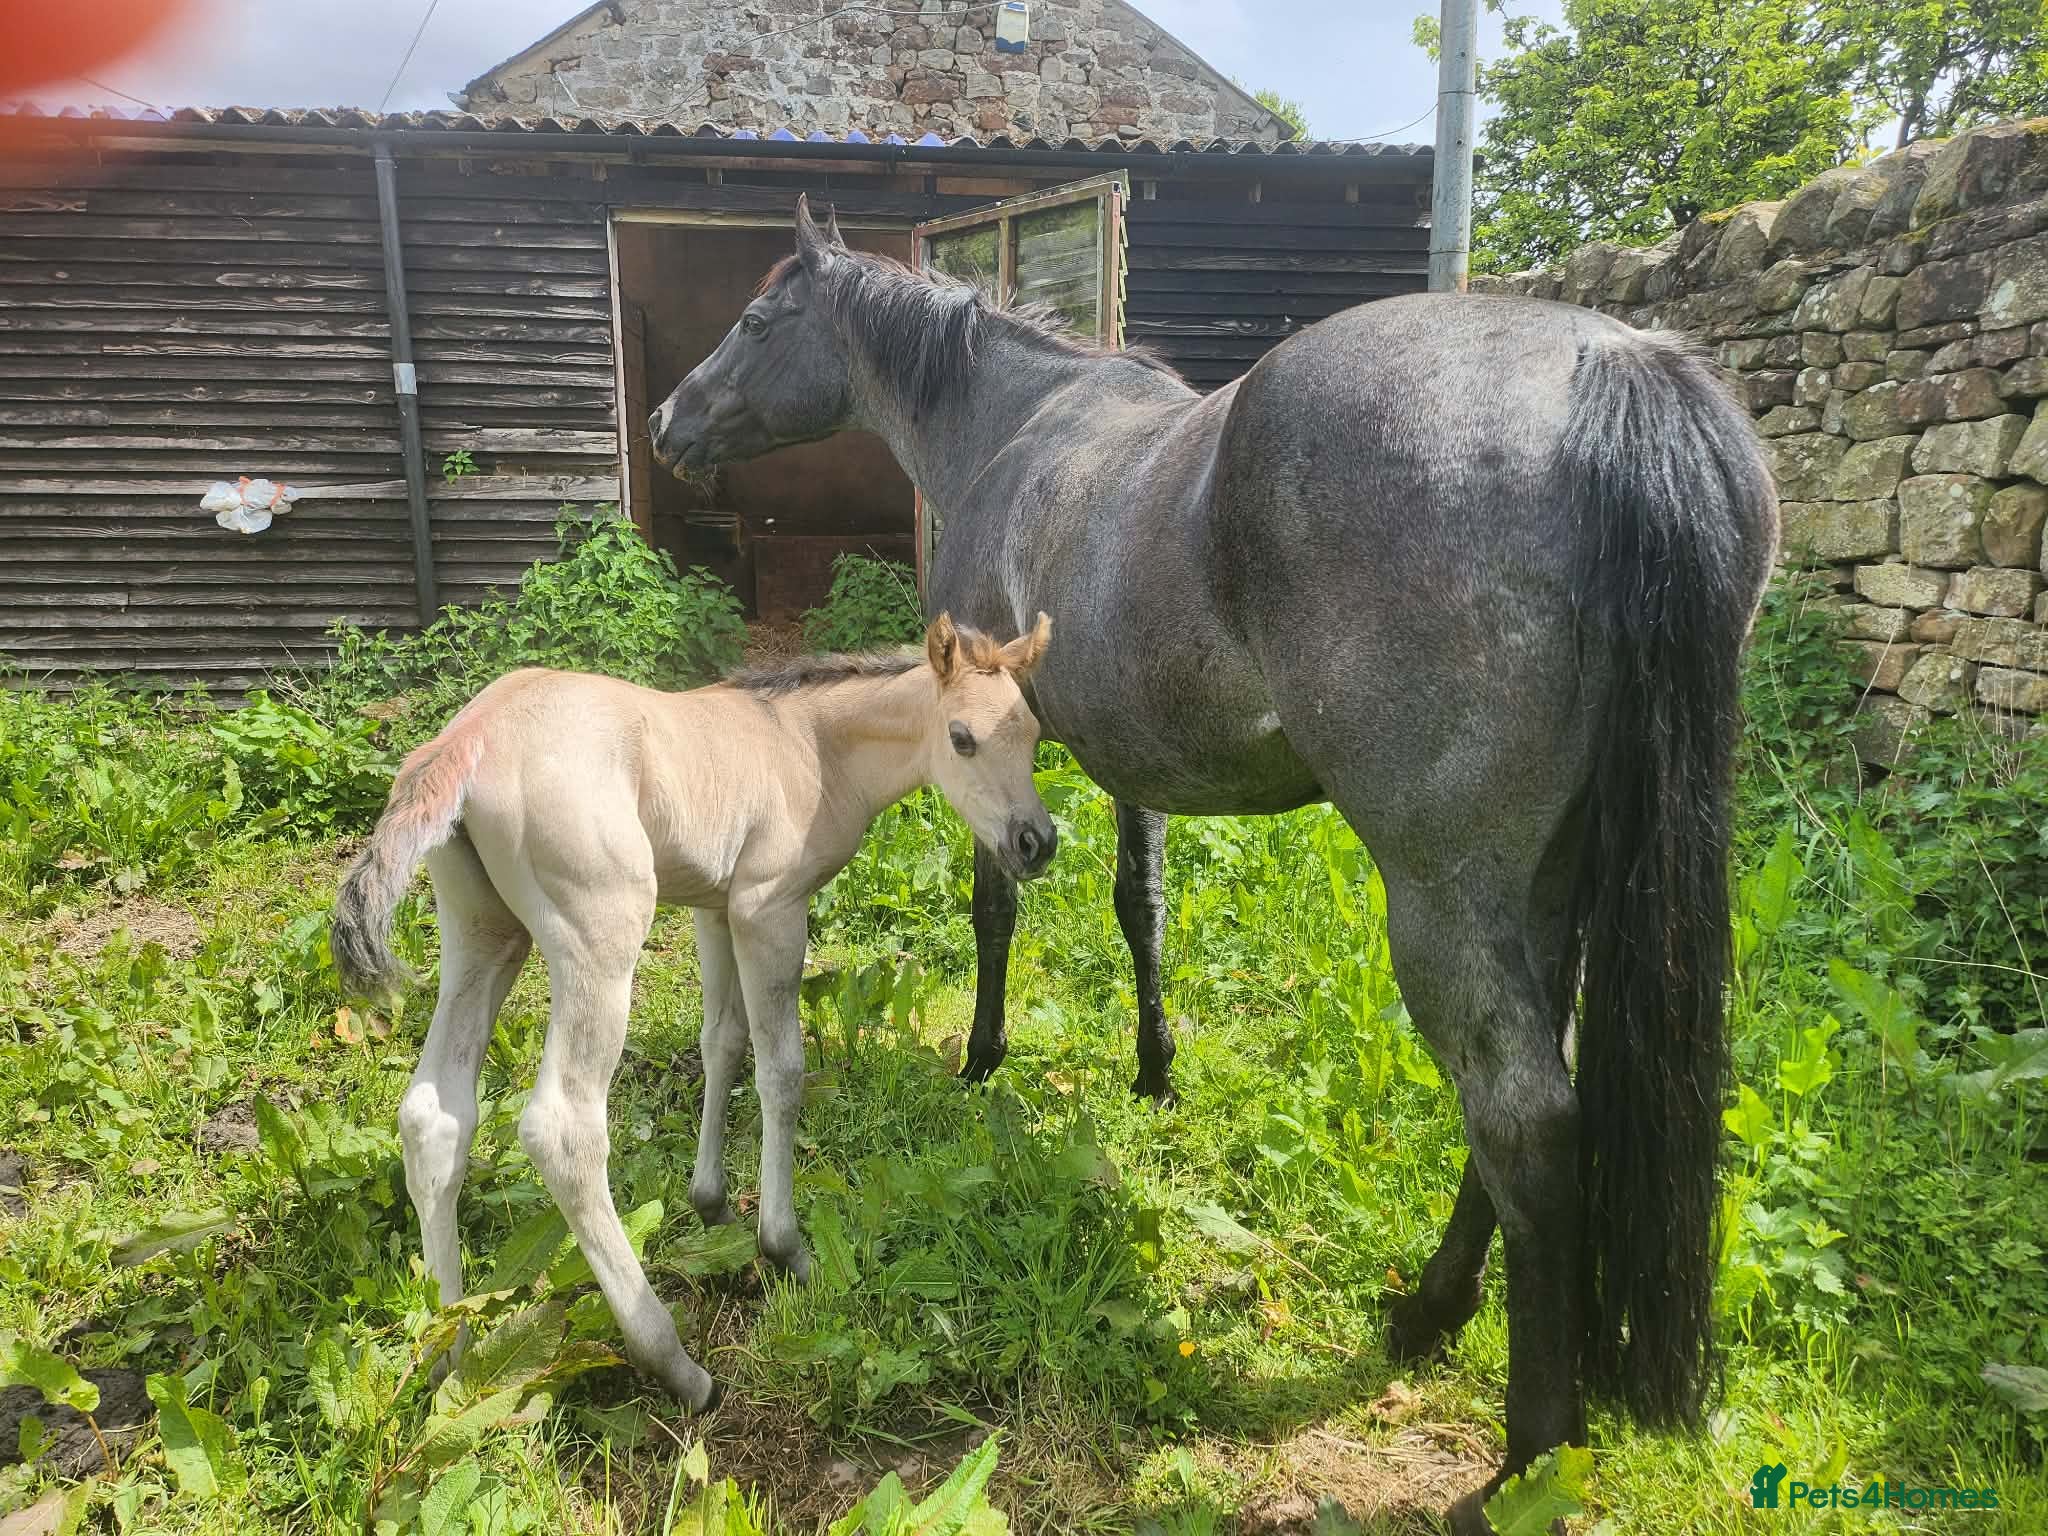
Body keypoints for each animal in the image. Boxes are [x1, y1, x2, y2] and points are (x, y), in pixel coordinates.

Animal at [331, 613, 1055, 1410]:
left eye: (1034, 733)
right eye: (962, 737)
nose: (1036, 842)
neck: (811, 745)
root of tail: (470, 736)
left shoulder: (716, 908)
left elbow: (723, 1043)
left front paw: (711, 1204)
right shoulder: (769, 908)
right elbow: (781, 1070)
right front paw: (785, 1247)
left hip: (482, 931)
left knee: (434, 1115)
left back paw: (450, 1350)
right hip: (600, 937)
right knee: (563, 1130)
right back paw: (673, 1361)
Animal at [646, 197, 1776, 1520]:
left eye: (757, 318)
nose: (668, 423)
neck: (1013, 425)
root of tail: (1614, 368)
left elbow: (995, 912)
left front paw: (980, 1060)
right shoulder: (1131, 768)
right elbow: (1140, 908)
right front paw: (1153, 1071)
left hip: (1443, 900)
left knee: (1523, 1121)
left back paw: (1520, 1465)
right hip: (1545, 888)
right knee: (1528, 1092)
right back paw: (1428, 1313)